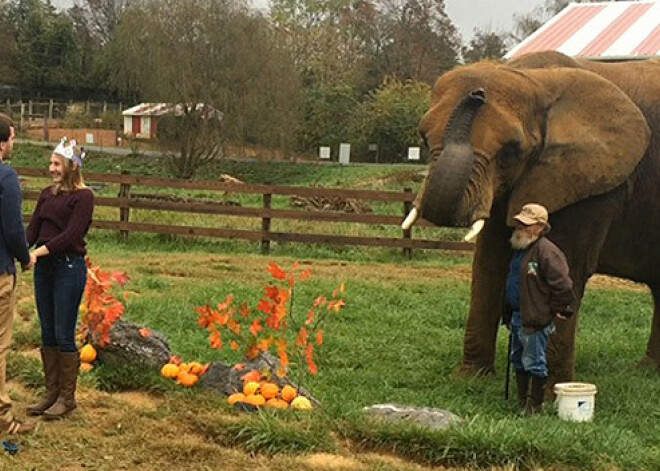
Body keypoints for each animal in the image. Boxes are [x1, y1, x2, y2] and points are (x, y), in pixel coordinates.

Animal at [404, 50, 660, 388]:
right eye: (423, 137)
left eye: (511, 151)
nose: (477, 93)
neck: (537, 80)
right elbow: (488, 263)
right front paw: (469, 380)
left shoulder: (594, 184)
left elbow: (566, 268)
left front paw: (555, 392)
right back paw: (647, 371)